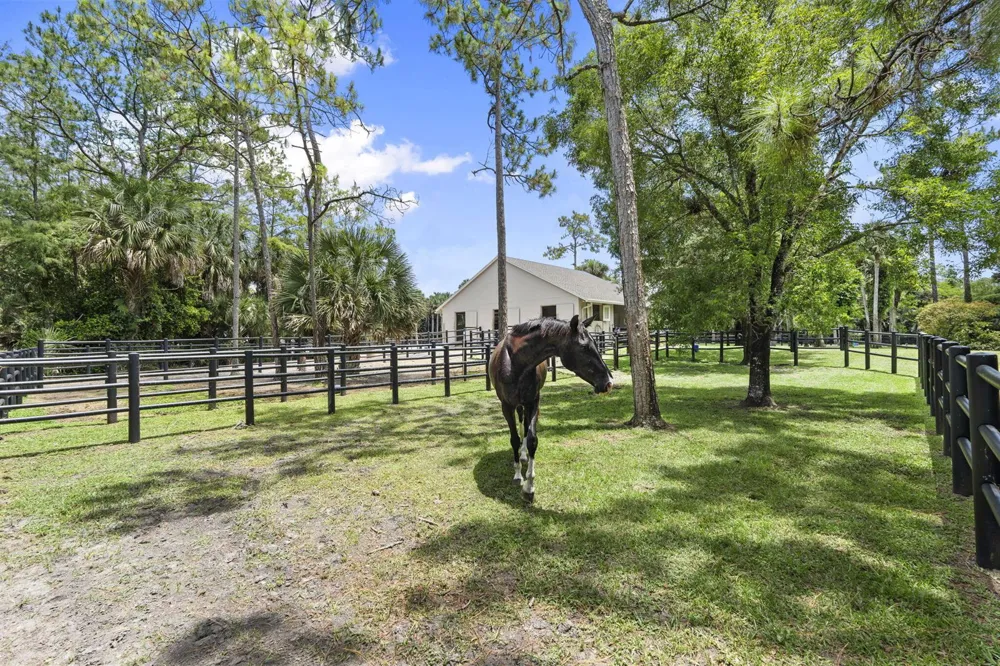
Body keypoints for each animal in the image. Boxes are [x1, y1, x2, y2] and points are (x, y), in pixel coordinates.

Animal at [488, 314, 614, 502]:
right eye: (584, 347)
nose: (608, 382)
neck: (516, 363)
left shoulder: (533, 402)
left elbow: (532, 439)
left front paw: (529, 486)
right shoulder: (506, 406)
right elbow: (514, 439)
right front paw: (518, 475)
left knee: (525, 426)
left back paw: (524, 455)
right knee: (520, 424)